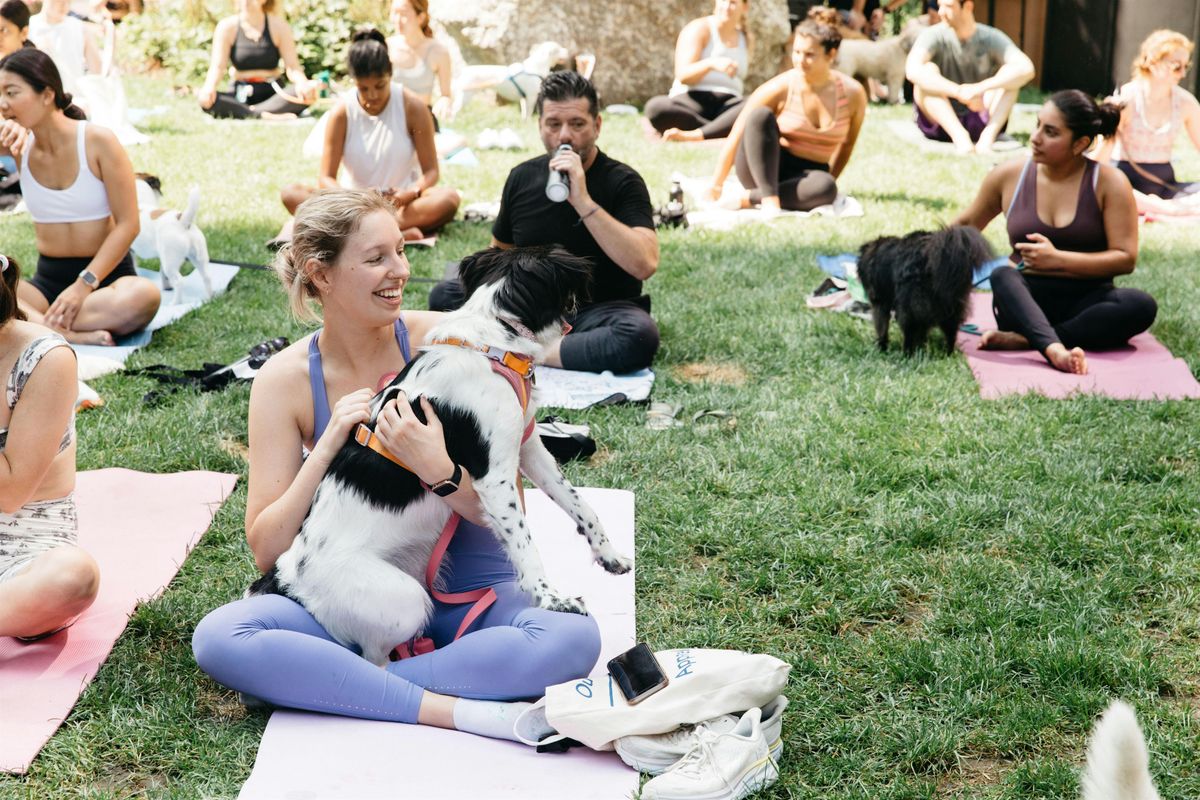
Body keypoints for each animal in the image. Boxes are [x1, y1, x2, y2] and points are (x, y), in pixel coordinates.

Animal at [133, 175, 213, 303]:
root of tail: (183, 221)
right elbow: (162, 273)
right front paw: (166, 287)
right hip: (198, 257)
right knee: (207, 277)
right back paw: (209, 299)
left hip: (171, 263)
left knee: (179, 281)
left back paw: (175, 303)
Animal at [249, 247, 633, 666]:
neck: (493, 344)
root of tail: (287, 574)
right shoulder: (494, 478)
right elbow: (525, 544)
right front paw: (551, 599)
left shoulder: (528, 446)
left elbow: (580, 504)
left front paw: (608, 554)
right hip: (403, 601)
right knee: (375, 661)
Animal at [859, 221, 998, 352]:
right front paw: (921, 345)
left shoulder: (879, 301)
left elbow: (881, 326)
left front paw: (881, 346)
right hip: (953, 305)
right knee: (951, 332)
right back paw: (947, 352)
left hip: (910, 304)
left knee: (909, 330)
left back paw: (906, 353)